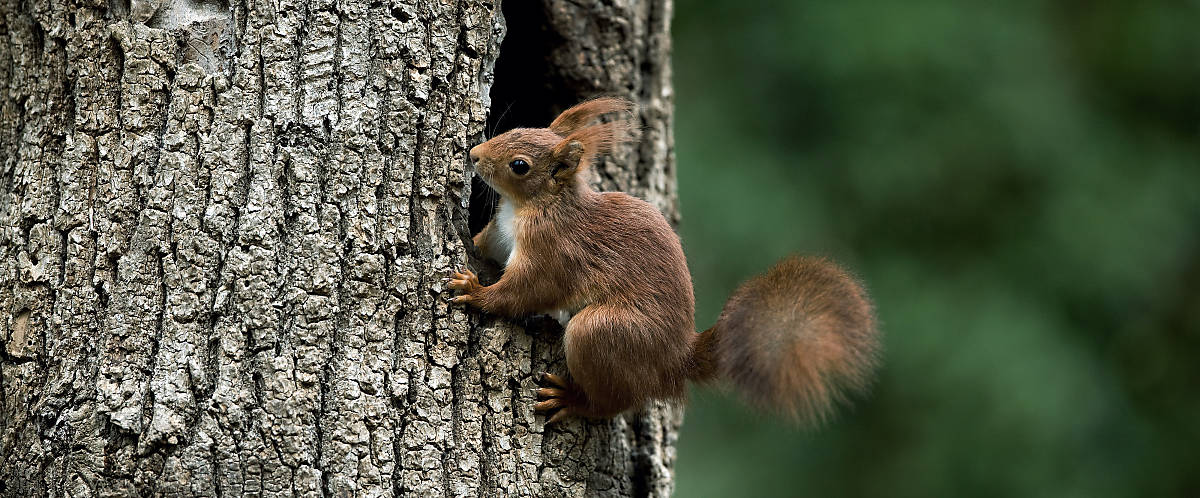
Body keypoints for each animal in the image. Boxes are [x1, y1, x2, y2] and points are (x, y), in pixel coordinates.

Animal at [447, 97, 880, 425]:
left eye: (519, 165)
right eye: (516, 127)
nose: (474, 154)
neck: (528, 207)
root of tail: (675, 361)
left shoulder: (555, 252)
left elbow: (524, 292)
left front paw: (475, 291)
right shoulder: (502, 236)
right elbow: (489, 248)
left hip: (604, 333)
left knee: (613, 402)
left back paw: (572, 400)